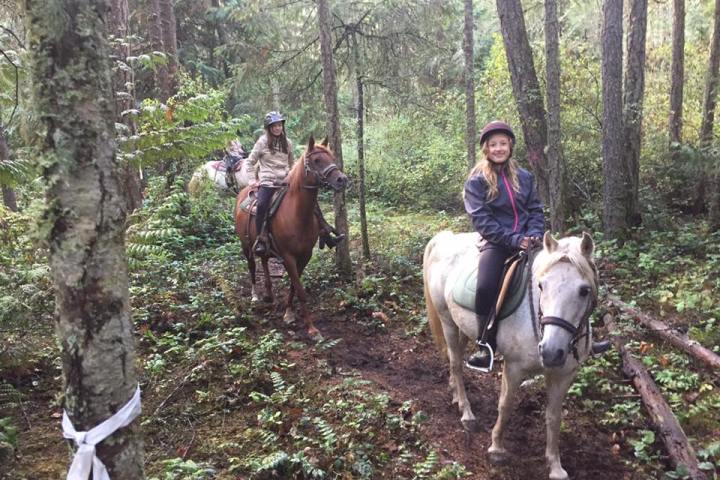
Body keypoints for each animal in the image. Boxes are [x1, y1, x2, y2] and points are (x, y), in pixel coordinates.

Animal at [235, 137, 348, 336]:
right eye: (317, 160)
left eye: (332, 157)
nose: (342, 179)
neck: (297, 214)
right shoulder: (288, 257)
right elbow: (300, 290)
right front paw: (312, 328)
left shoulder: (305, 255)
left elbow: (295, 286)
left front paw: (288, 313)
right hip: (245, 245)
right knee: (252, 265)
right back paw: (255, 295)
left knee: (264, 259)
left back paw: (269, 294)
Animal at [424, 231, 600, 478]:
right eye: (541, 286)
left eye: (584, 290)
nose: (551, 352)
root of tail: (445, 238)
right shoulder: (514, 367)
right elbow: (506, 405)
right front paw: (496, 448)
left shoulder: (564, 375)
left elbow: (554, 417)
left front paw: (555, 466)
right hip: (447, 320)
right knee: (456, 364)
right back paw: (466, 413)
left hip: (462, 326)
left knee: (454, 357)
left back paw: (455, 394)